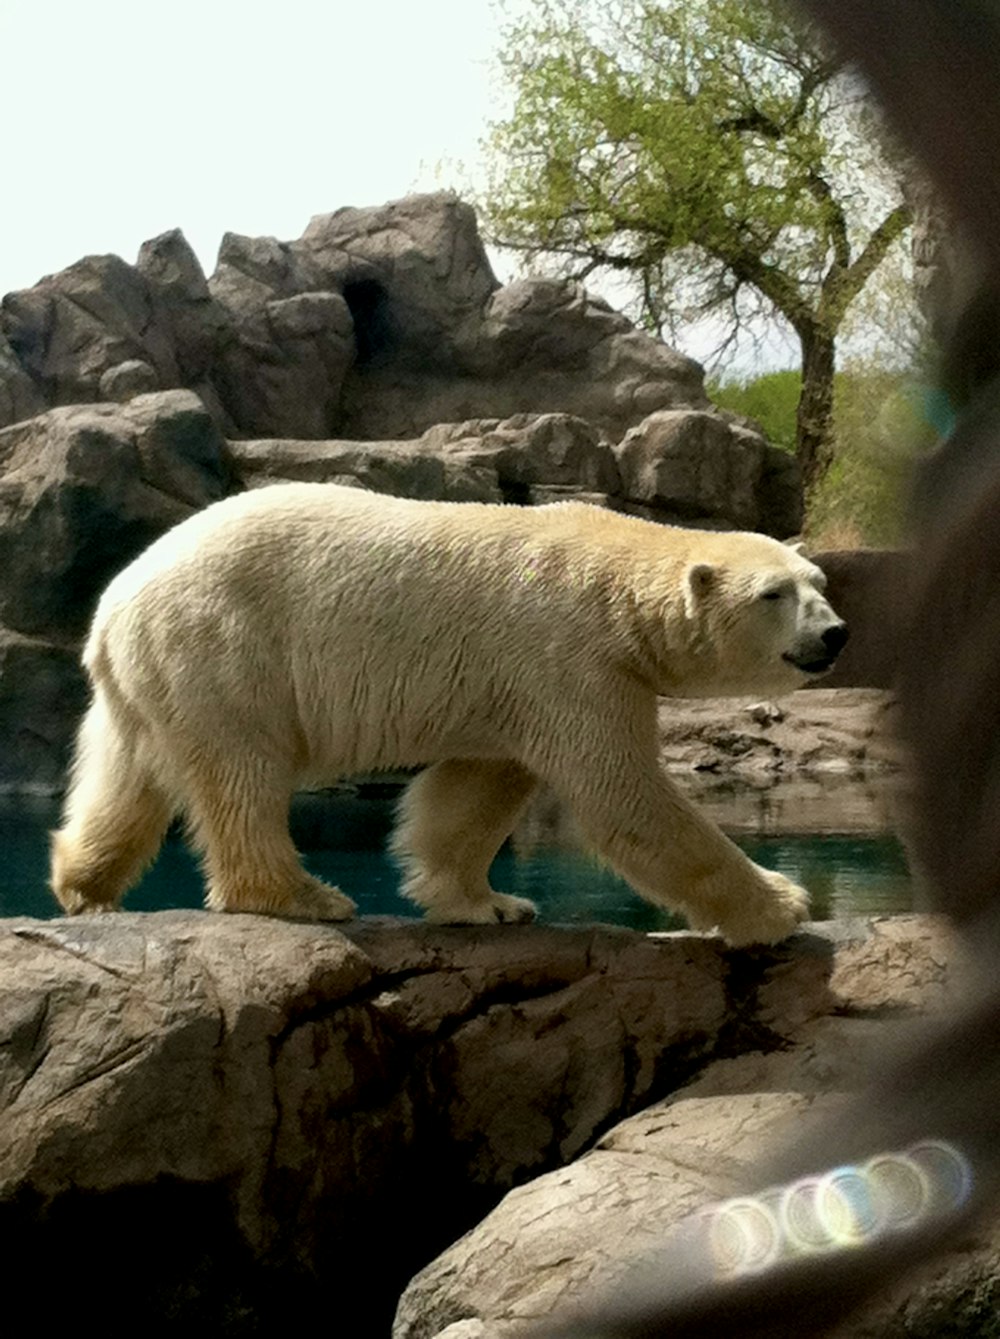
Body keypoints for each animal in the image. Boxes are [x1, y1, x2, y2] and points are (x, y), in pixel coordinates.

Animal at [50, 487, 851, 948]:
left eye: (819, 582)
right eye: (773, 594)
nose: (835, 634)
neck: (612, 581)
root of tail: (113, 605)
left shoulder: (516, 684)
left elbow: (473, 791)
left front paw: (489, 903)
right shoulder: (569, 659)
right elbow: (622, 794)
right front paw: (781, 905)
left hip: (149, 679)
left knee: (126, 775)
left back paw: (83, 884)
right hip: (224, 645)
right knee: (242, 771)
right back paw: (304, 896)